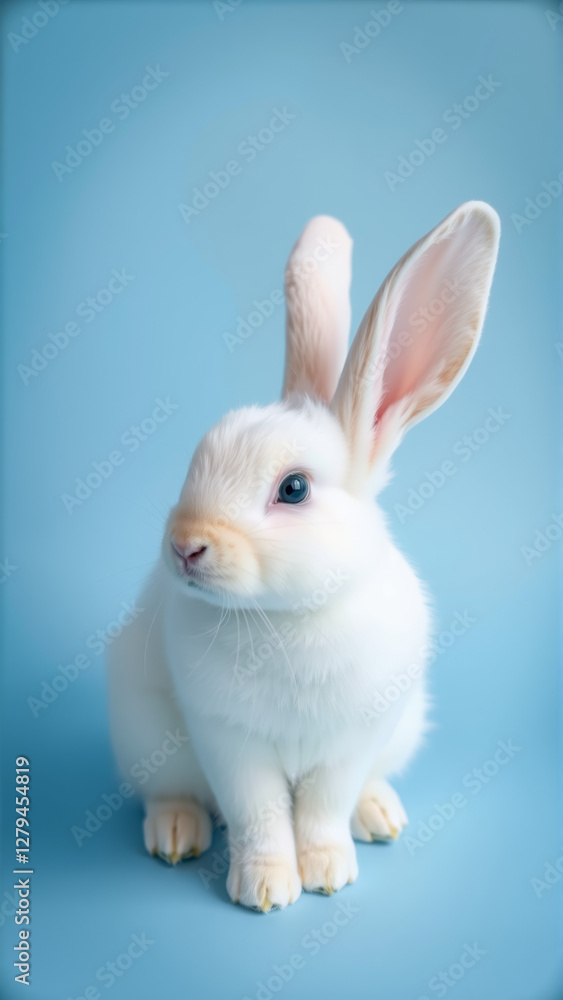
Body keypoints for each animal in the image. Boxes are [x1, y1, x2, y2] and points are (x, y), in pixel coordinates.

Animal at [107, 201, 500, 911]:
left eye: (293, 489)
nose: (185, 545)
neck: (291, 617)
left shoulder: (350, 743)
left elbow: (321, 810)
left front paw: (327, 873)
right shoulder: (230, 742)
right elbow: (260, 815)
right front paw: (264, 888)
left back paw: (381, 816)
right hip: (144, 732)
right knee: (169, 792)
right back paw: (175, 834)